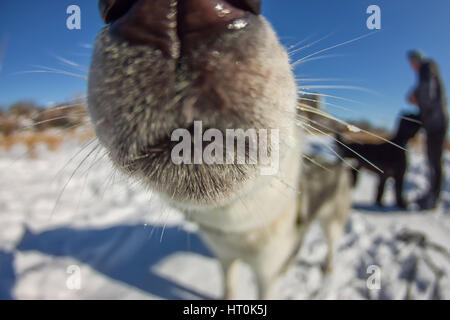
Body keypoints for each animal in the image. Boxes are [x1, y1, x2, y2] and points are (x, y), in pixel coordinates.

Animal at [87, 0, 352, 300]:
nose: (173, 15)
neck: (236, 229)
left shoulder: (267, 272)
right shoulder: (224, 257)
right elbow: (228, 284)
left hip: (332, 222)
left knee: (331, 244)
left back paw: (329, 267)